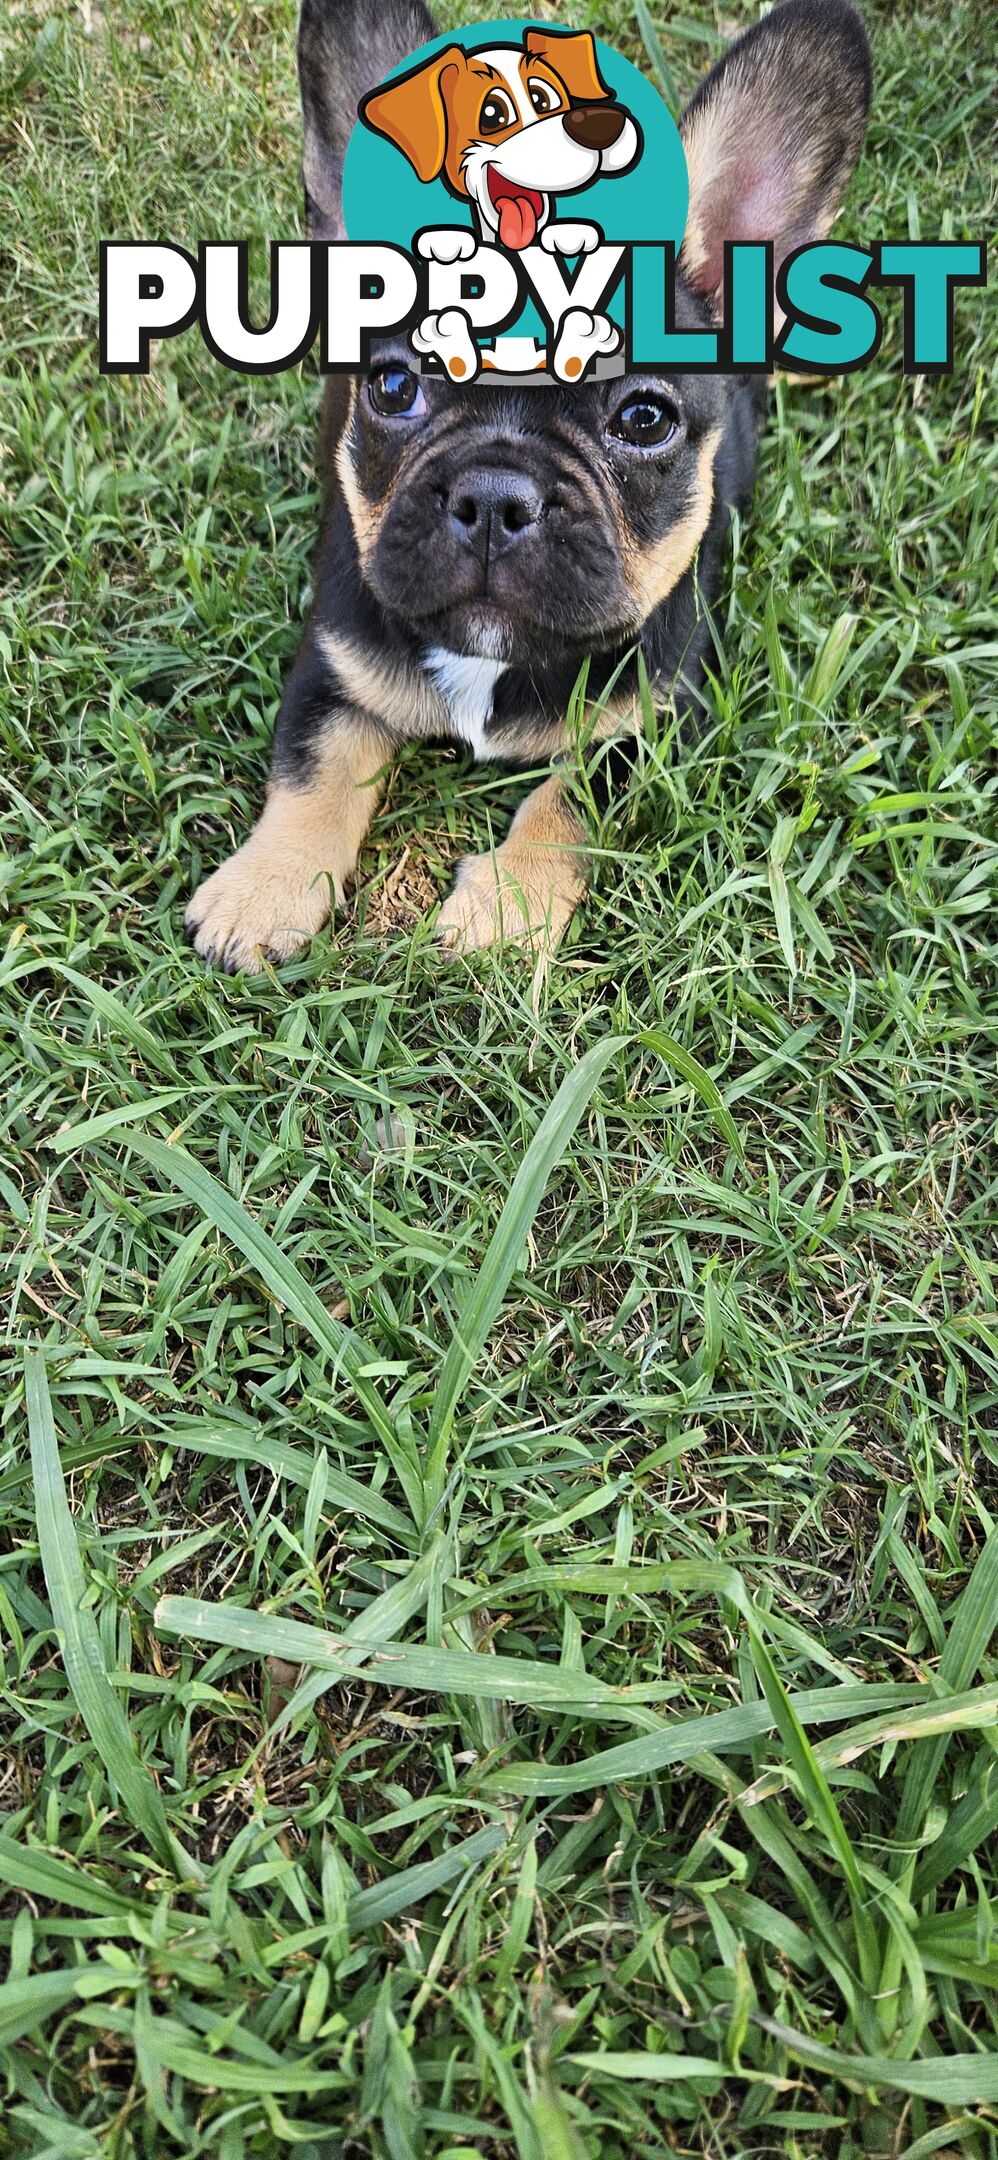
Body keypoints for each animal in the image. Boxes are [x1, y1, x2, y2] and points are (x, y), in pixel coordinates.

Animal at [184, 0, 864, 972]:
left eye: (644, 418)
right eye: (395, 386)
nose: (496, 496)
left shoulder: (657, 716)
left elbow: (573, 800)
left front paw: (506, 906)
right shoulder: (334, 656)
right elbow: (312, 763)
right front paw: (263, 890)